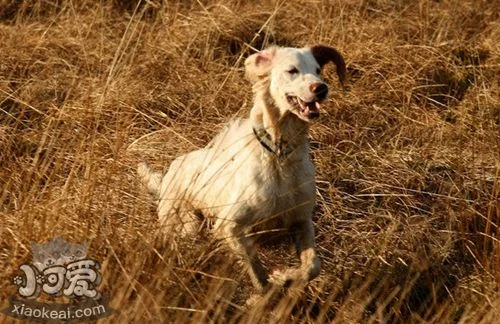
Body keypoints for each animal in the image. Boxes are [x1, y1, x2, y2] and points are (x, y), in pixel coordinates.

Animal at [139, 45, 346, 292]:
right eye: (292, 70)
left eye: (317, 70)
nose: (321, 88)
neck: (279, 155)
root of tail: (170, 172)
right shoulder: (230, 226)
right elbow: (258, 275)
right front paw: (267, 290)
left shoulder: (301, 219)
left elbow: (313, 266)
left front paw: (285, 277)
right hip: (186, 225)